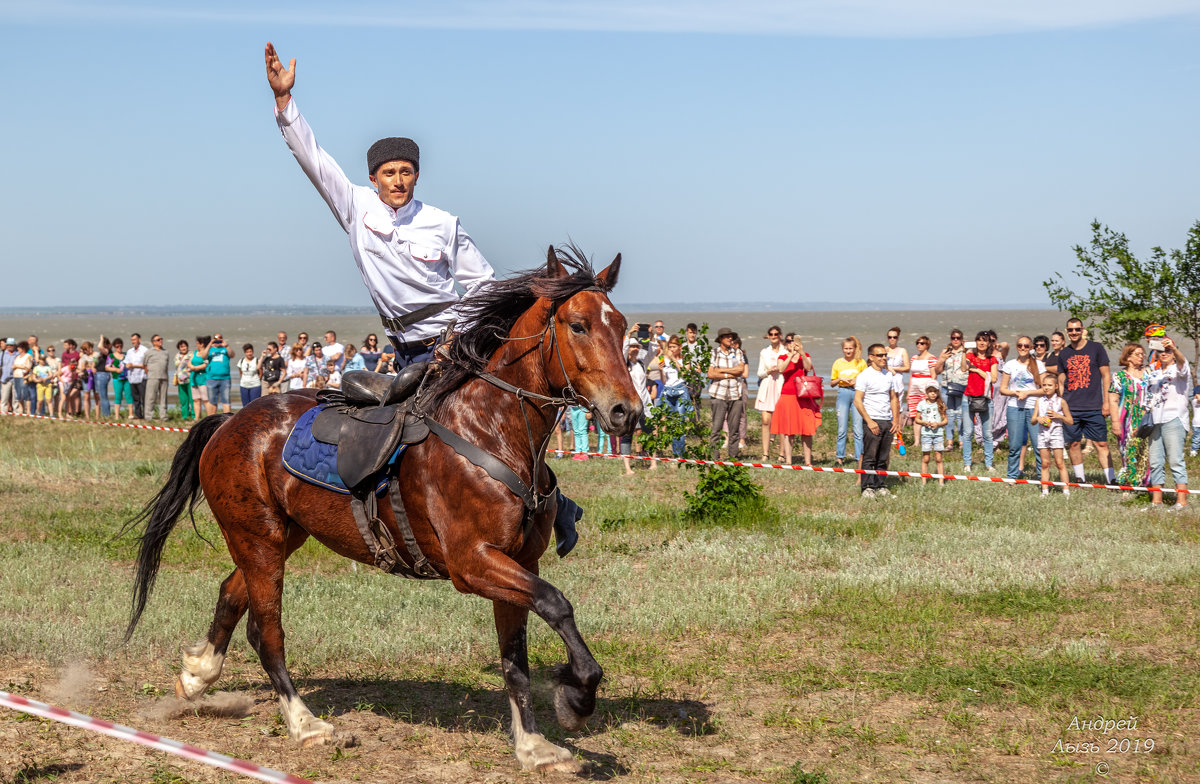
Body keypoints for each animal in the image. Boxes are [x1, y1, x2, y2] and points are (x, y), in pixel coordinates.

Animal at [126, 249, 643, 768]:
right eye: (578, 325)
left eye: (621, 327)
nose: (628, 412)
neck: (491, 430)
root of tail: (230, 421)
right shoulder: (472, 563)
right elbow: (557, 605)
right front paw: (576, 698)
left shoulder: (518, 562)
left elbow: (514, 660)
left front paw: (534, 747)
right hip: (259, 540)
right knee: (265, 630)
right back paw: (305, 724)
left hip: (279, 536)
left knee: (232, 594)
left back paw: (197, 674)